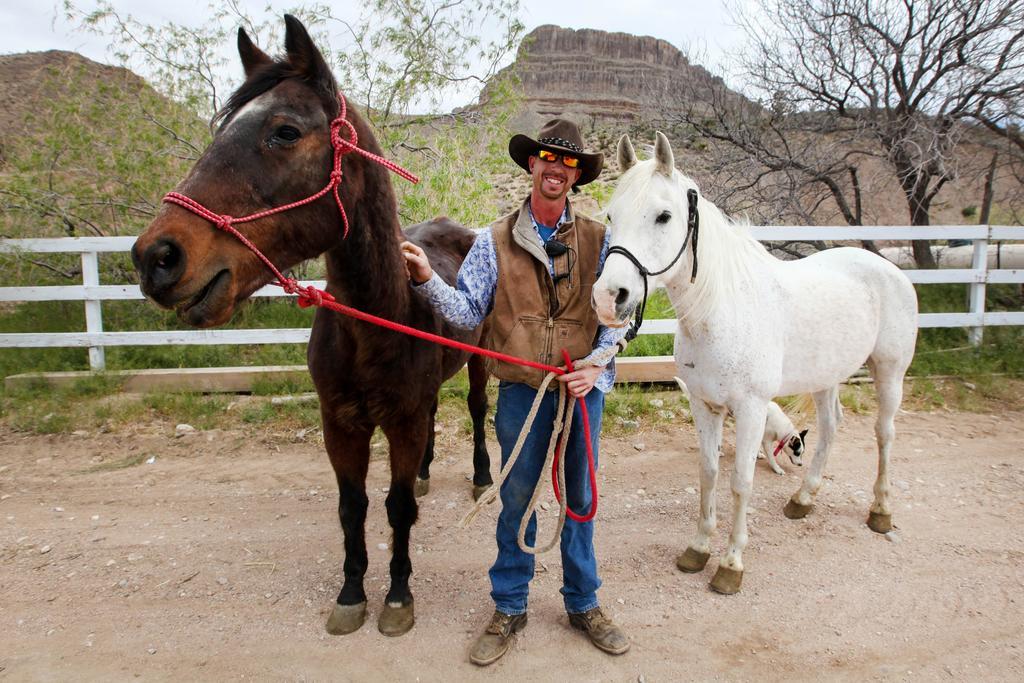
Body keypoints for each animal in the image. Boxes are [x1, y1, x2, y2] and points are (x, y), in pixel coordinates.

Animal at [132, 14, 491, 634]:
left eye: (285, 131)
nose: (157, 256)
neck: (376, 321)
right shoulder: (340, 424)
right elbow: (354, 507)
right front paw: (350, 593)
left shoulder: (399, 421)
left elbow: (397, 509)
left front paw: (398, 596)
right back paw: (426, 471)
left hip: (480, 362)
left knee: (474, 407)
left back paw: (481, 478)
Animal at [675, 374, 811, 475]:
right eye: (797, 453)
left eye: (802, 453)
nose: (801, 464)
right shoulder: (767, 442)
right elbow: (772, 458)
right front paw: (777, 469)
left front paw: (757, 454)